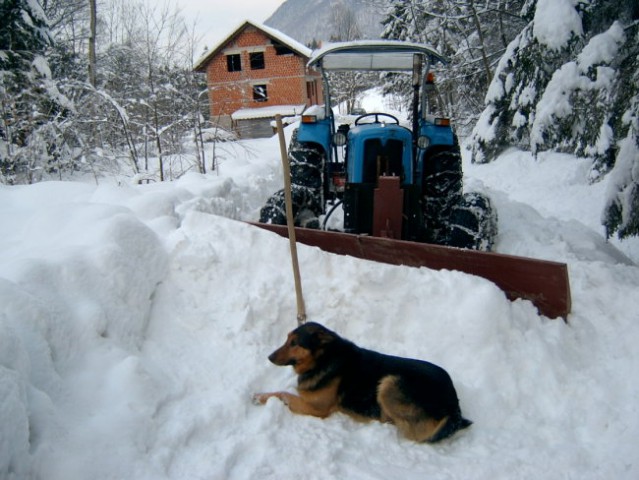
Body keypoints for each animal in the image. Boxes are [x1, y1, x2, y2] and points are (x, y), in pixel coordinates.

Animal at [252, 322, 472, 442]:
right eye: (287, 339)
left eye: (294, 343)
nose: (269, 357)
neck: (323, 359)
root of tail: (454, 405)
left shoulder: (317, 409)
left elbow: (283, 393)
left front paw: (260, 396)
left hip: (389, 382)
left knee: (414, 432)